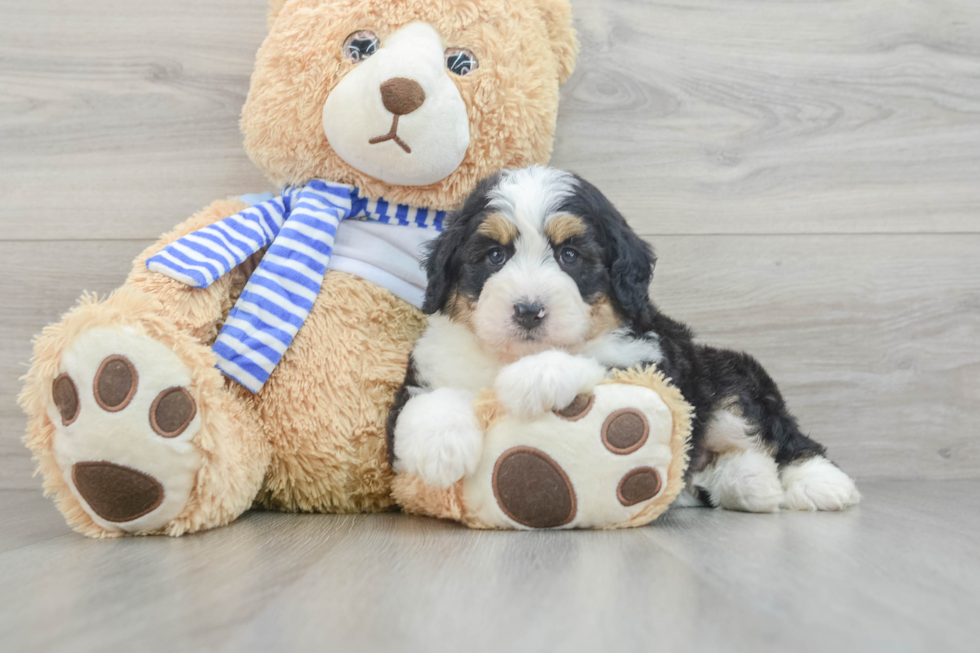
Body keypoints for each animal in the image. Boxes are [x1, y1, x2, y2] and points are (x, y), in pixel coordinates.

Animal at [386, 166, 860, 512]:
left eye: (570, 255)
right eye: (494, 255)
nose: (528, 310)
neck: (508, 355)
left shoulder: (652, 363)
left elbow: (593, 360)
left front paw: (533, 378)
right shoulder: (431, 364)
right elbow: (426, 400)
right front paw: (438, 448)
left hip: (731, 377)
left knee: (781, 436)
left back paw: (820, 484)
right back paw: (750, 483)